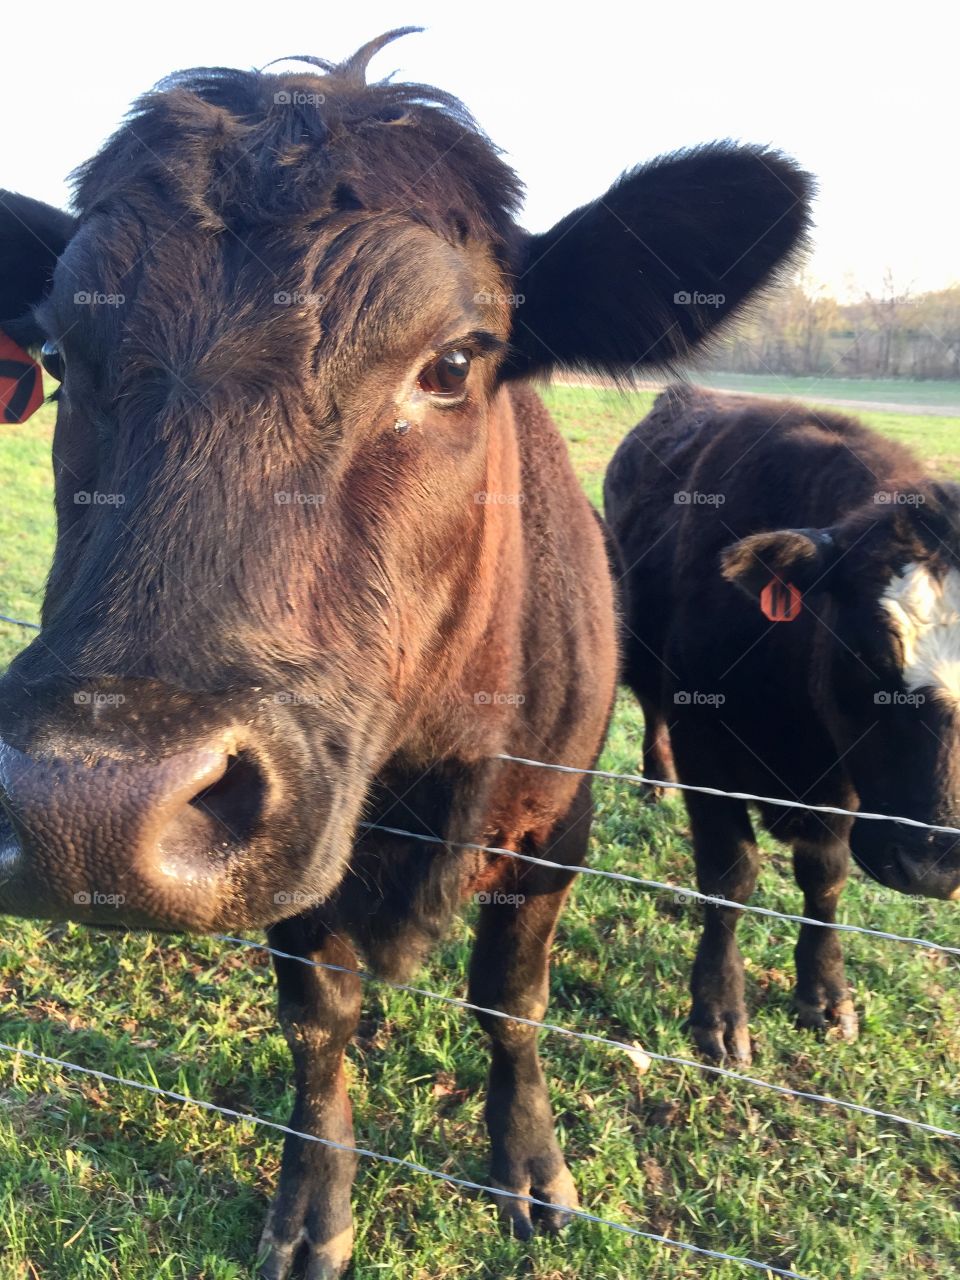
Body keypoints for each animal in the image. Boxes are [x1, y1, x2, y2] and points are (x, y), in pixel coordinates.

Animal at [0, 35, 814, 1274]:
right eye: (55, 348)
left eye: (455, 362)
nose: (87, 805)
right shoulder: (302, 842)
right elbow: (316, 1024)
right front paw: (314, 1205)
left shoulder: (553, 821)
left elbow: (509, 999)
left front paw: (528, 1164)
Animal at [609, 384, 960, 1064]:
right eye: (865, 653)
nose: (935, 865)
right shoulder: (705, 747)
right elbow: (730, 875)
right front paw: (718, 1013)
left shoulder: (843, 787)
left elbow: (824, 879)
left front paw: (825, 994)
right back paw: (654, 781)